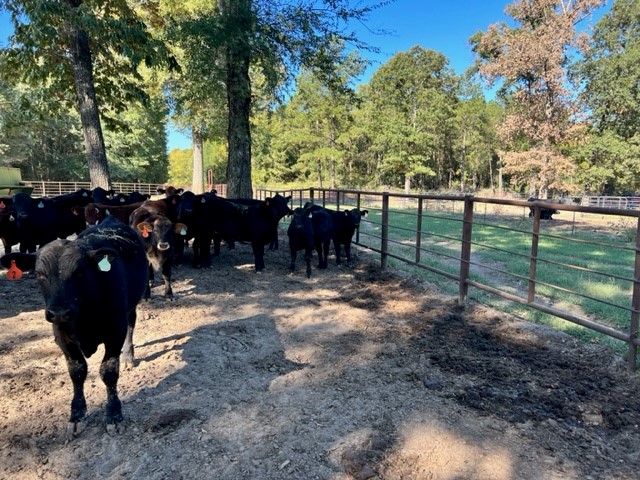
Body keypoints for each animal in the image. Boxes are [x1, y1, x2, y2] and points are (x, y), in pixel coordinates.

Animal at [0, 216, 148, 437]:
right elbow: (77, 372)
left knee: (132, 325)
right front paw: (76, 414)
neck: (85, 315)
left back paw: (129, 355)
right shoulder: (63, 335)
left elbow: (109, 371)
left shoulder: (115, 330)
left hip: (131, 307)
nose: (60, 312)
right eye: (39, 274)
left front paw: (114, 414)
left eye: (79, 272)